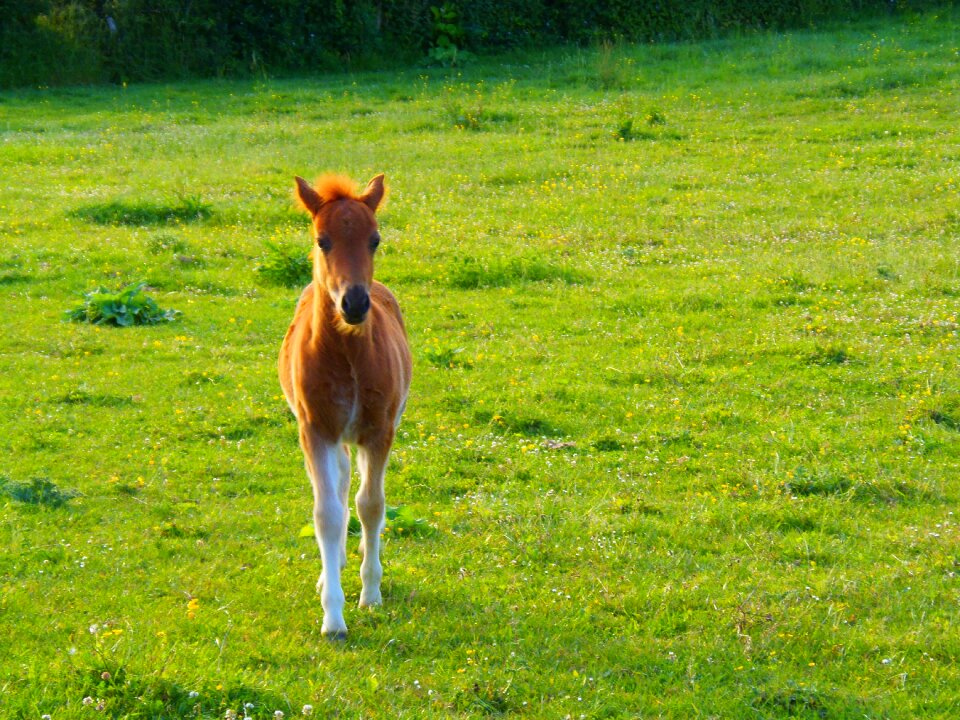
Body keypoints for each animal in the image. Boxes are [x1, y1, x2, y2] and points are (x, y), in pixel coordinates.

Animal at [278, 173, 412, 636]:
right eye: (323, 240)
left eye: (375, 239)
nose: (353, 303)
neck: (349, 356)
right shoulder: (315, 430)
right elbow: (328, 515)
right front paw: (333, 618)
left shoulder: (379, 430)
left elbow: (371, 506)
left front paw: (370, 593)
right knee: (335, 488)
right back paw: (328, 569)